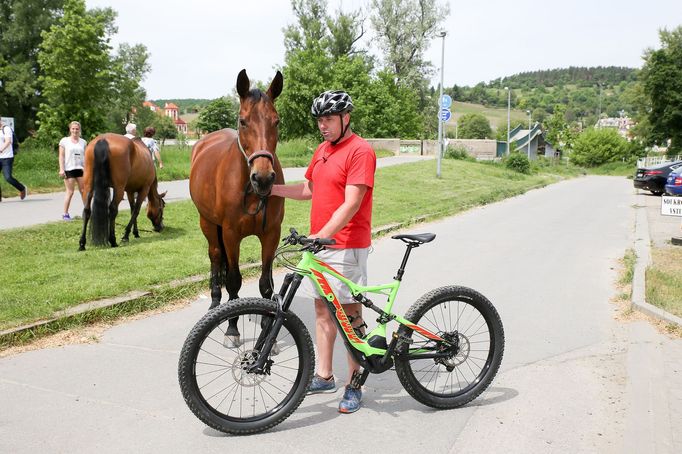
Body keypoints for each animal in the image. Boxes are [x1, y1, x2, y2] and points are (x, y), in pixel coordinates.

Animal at [187, 68, 282, 344]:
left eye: (276, 121)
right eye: (243, 121)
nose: (263, 178)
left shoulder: (271, 234)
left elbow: (266, 284)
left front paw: (267, 330)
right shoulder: (231, 234)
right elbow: (233, 280)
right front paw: (232, 327)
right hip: (209, 224)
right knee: (216, 257)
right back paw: (215, 304)